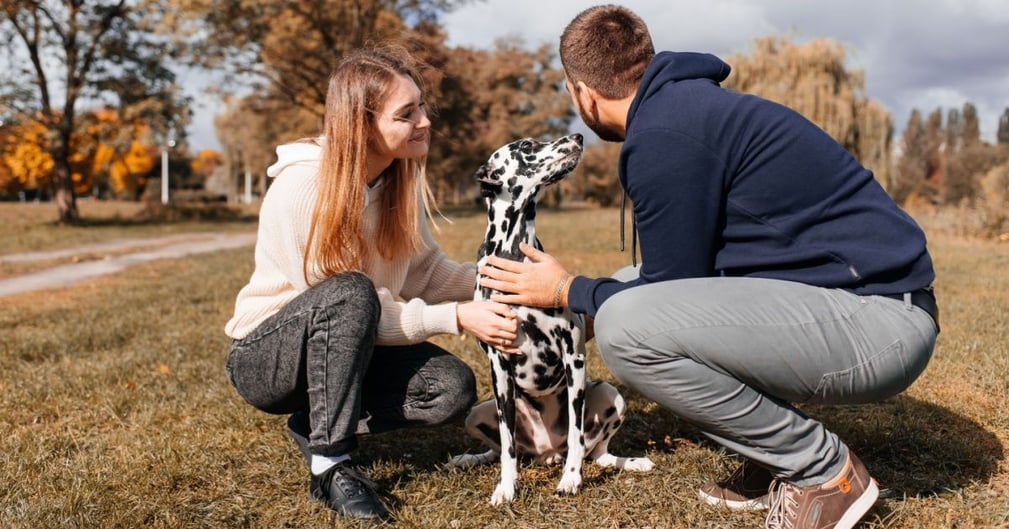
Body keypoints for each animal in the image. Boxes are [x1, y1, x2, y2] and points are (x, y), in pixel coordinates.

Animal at [447, 133, 653, 504]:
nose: (578, 136)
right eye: (526, 146)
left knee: (597, 452)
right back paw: (469, 458)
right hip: (477, 413)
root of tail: (546, 453)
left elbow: (576, 435)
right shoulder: (499, 369)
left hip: (610, 396)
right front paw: (506, 488)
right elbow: (507, 446)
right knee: (502, 448)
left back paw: (629, 462)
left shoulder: (574, 359)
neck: (515, 253)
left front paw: (570, 479)